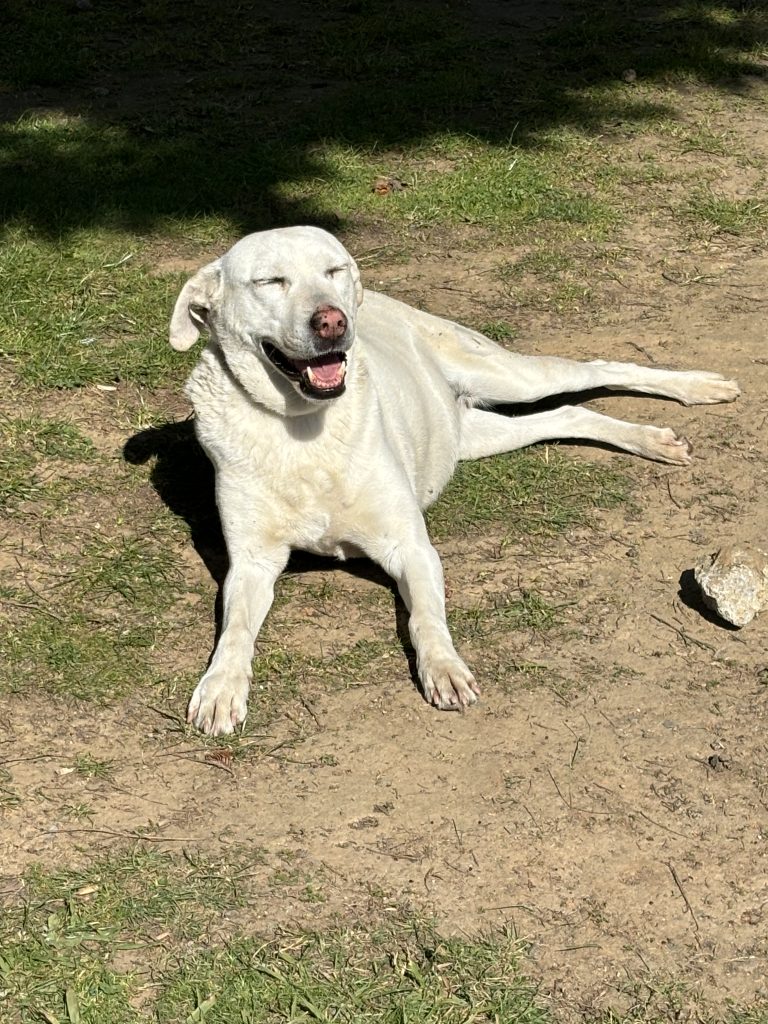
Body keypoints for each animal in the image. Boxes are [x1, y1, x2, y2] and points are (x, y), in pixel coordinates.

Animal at [169, 225, 741, 737]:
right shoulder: (251, 564)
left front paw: (443, 668)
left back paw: (697, 387)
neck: (304, 427)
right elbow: (235, 630)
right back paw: (651, 440)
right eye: (270, 281)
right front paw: (220, 688)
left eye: (334, 270)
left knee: (597, 369)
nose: (332, 320)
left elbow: (424, 616)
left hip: (511, 377)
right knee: (569, 414)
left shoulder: (411, 547)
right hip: (478, 433)